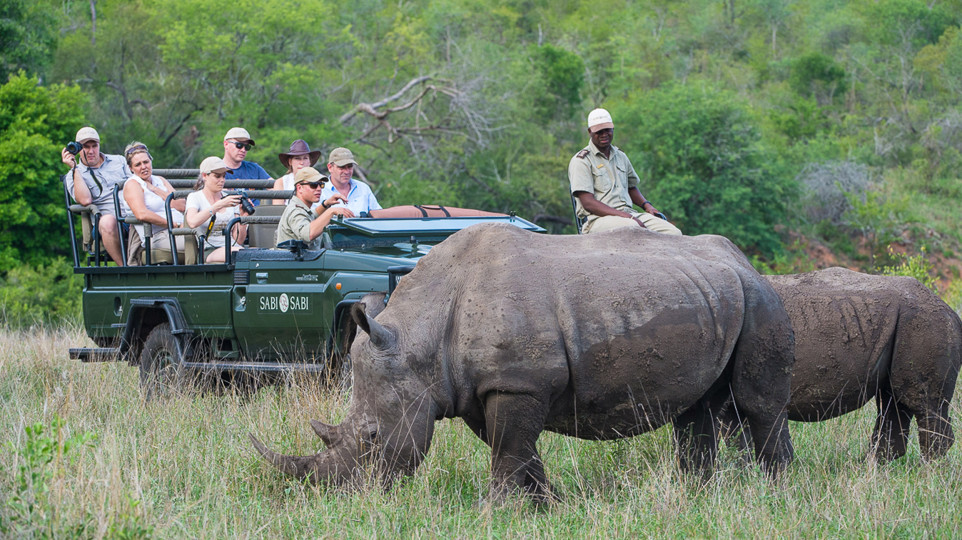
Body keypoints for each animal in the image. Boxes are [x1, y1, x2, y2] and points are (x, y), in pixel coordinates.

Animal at [251, 224, 796, 502]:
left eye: (369, 437)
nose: (343, 497)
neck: (418, 338)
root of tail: (744, 260)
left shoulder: (518, 383)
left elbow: (508, 450)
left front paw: (494, 511)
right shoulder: (479, 387)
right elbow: (514, 450)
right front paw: (546, 506)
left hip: (760, 299)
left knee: (758, 404)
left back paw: (777, 491)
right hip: (710, 296)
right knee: (697, 408)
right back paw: (695, 494)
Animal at [722, 268, 961, 461]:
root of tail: (950, 310)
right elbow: (736, 435)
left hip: (927, 322)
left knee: (921, 402)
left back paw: (928, 472)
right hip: (909, 322)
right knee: (892, 401)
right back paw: (873, 471)